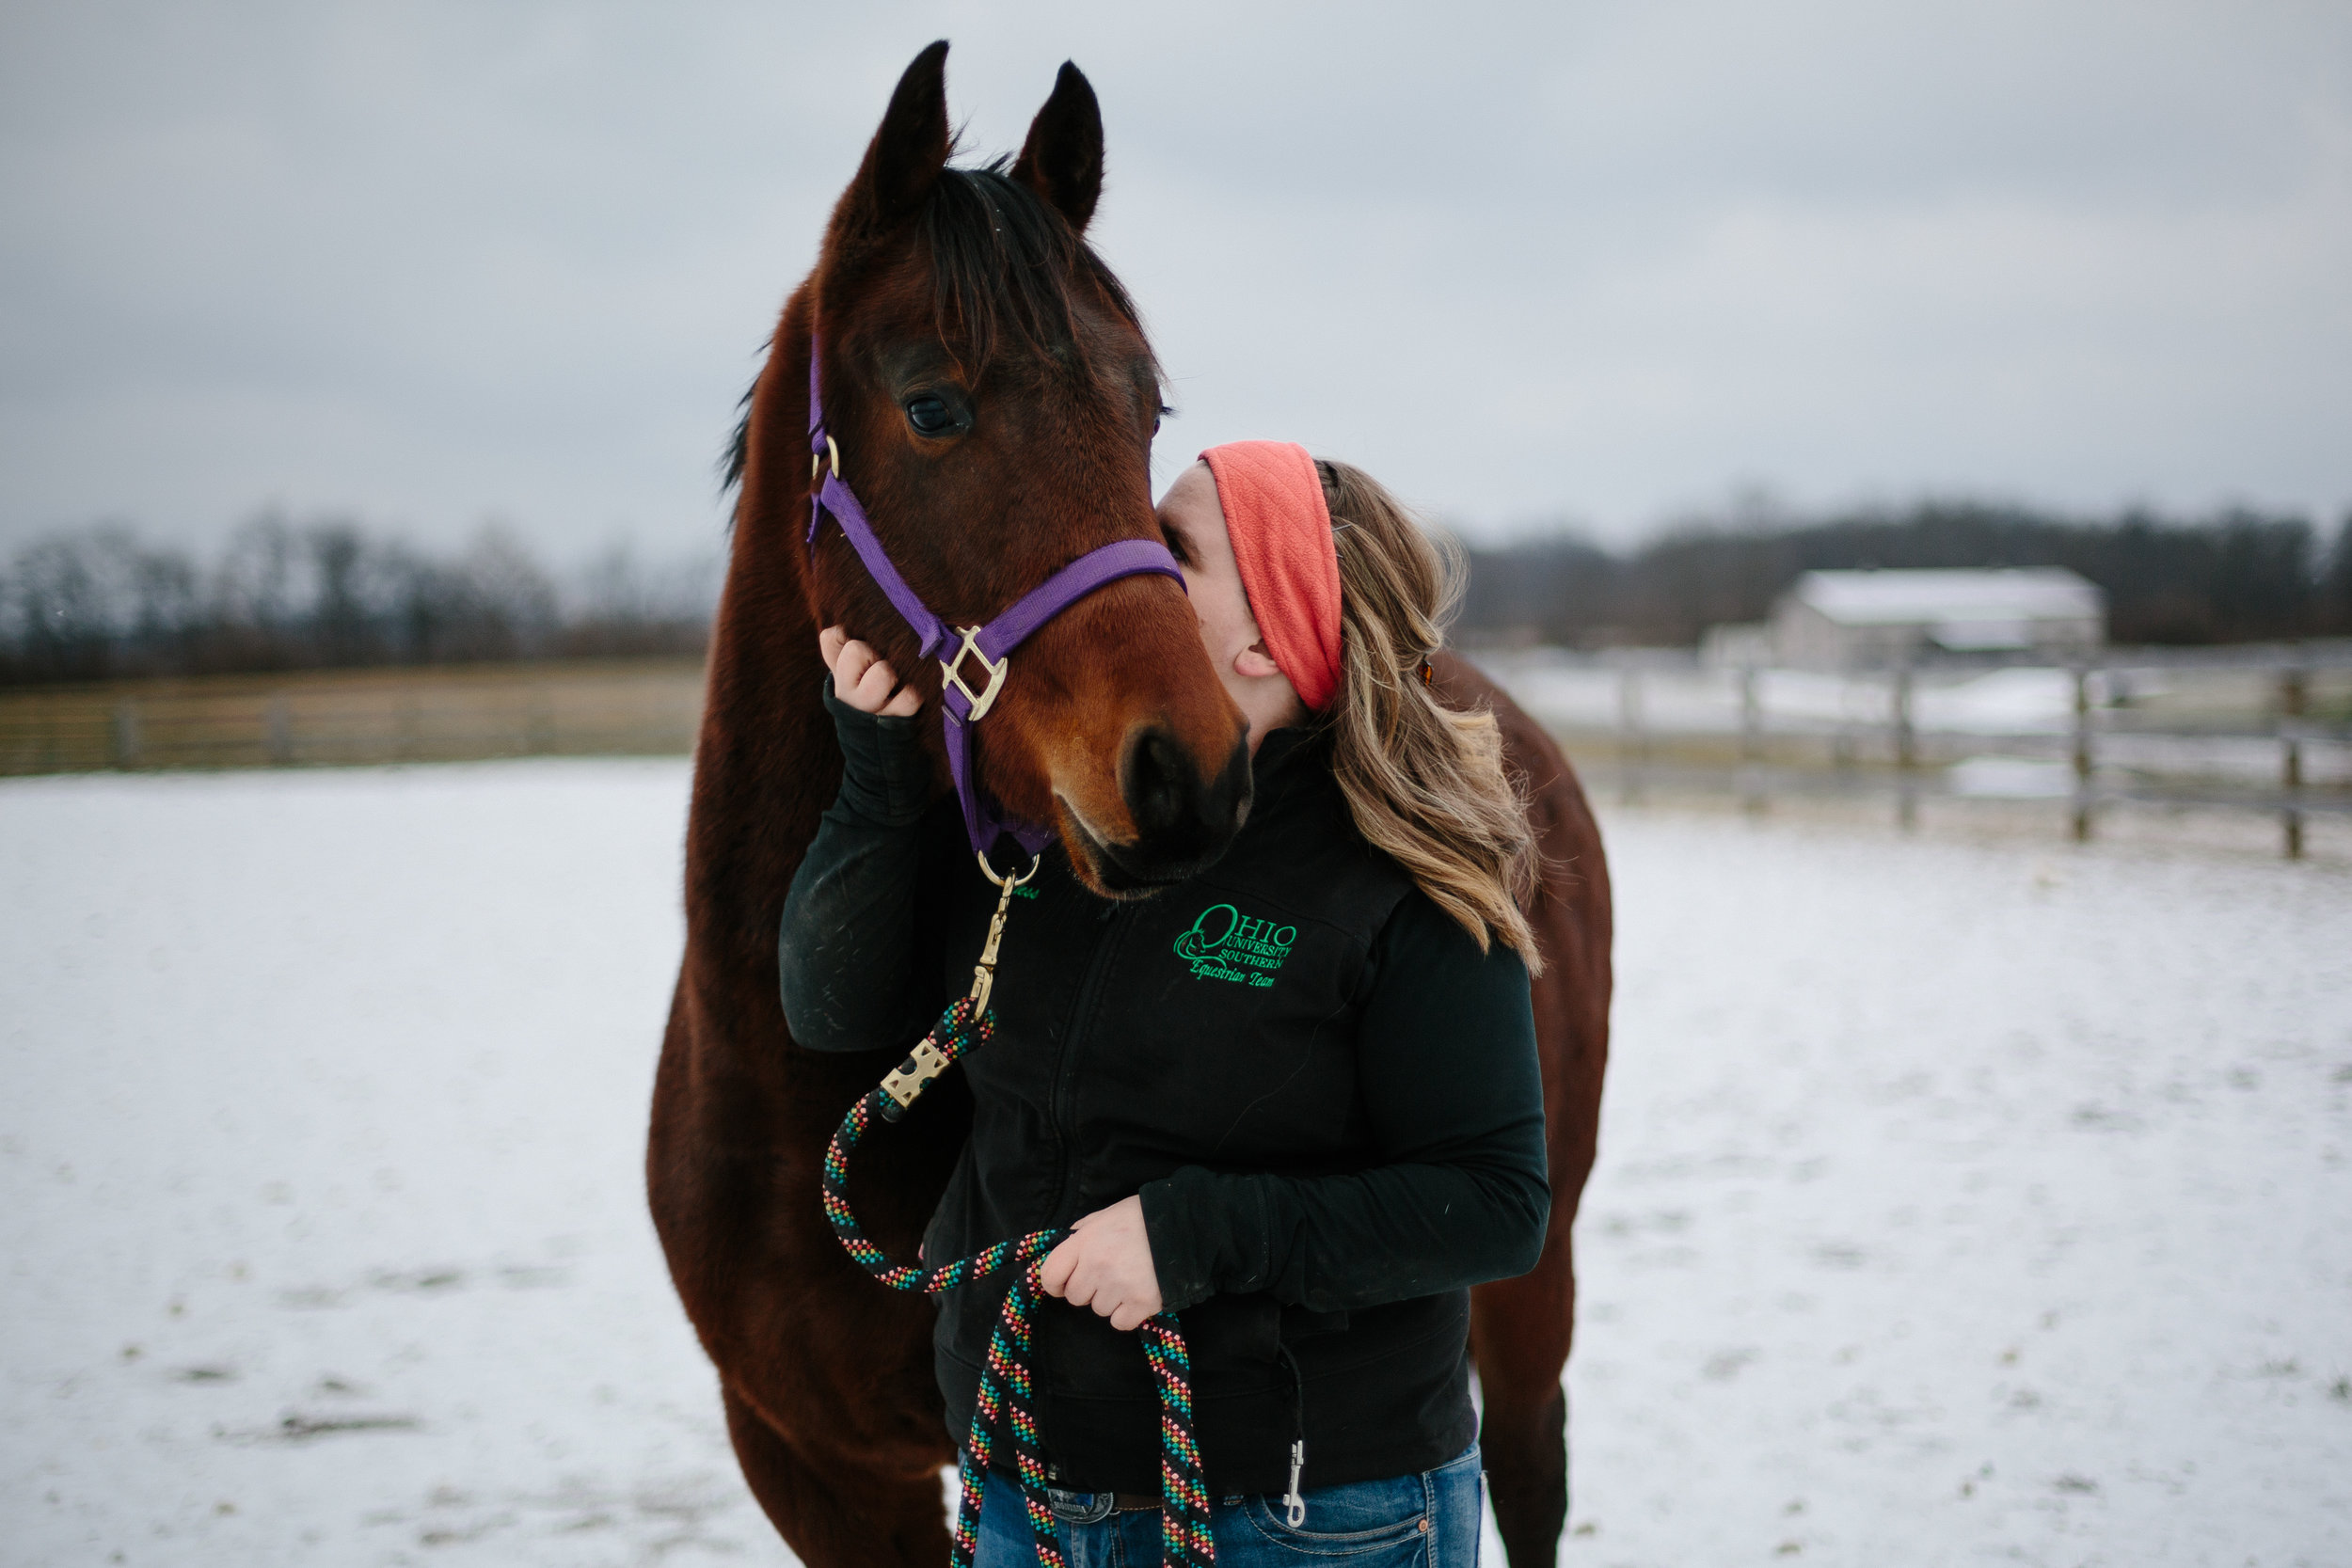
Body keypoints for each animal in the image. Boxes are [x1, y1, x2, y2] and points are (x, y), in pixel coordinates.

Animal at [649, 40, 1618, 1568]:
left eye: (1143, 405)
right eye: (933, 403)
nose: (1188, 773)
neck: (787, 1083)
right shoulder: (816, 1465)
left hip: (1534, 1285)